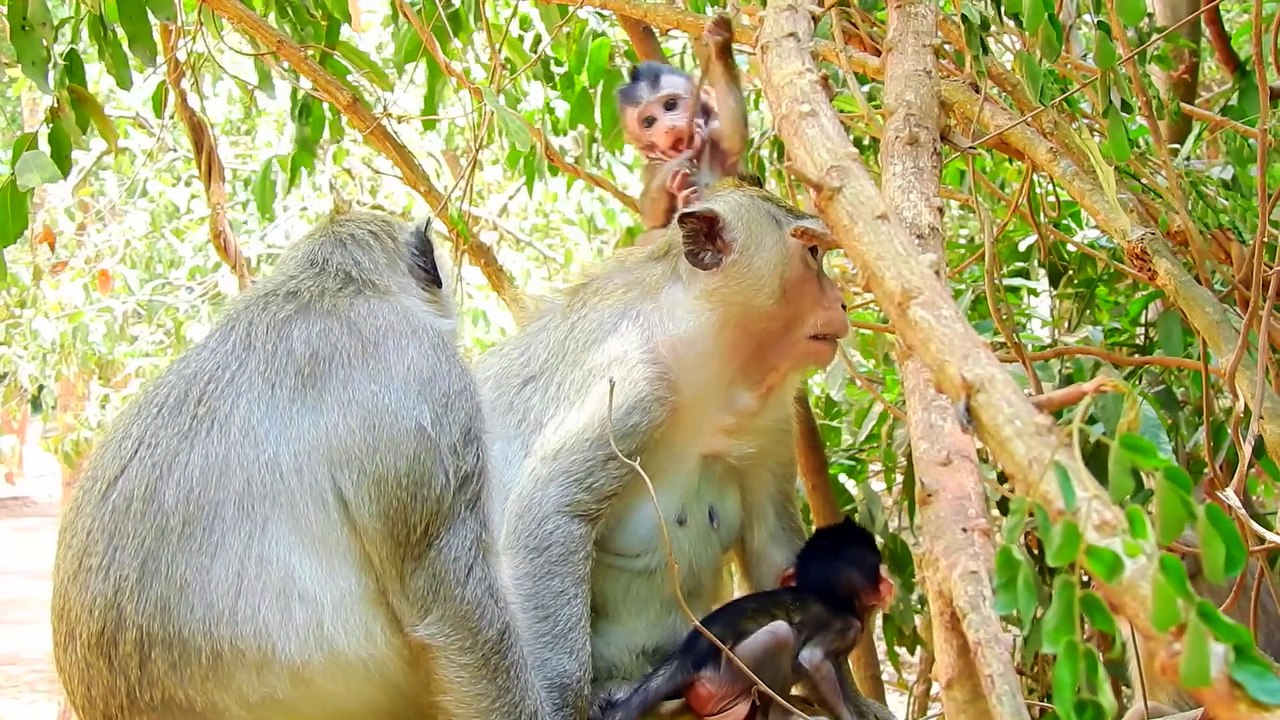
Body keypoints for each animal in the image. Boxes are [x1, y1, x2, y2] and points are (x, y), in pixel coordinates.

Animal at [591, 516, 896, 720]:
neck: (833, 597)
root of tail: (687, 656)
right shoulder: (847, 626)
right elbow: (814, 658)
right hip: (723, 680)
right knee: (780, 635)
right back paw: (777, 714)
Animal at [617, 14, 748, 245]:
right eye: (649, 121)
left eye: (670, 105)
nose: (669, 128)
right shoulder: (652, 167)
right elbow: (650, 215)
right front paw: (677, 168)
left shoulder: (714, 134)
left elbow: (734, 137)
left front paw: (719, 42)